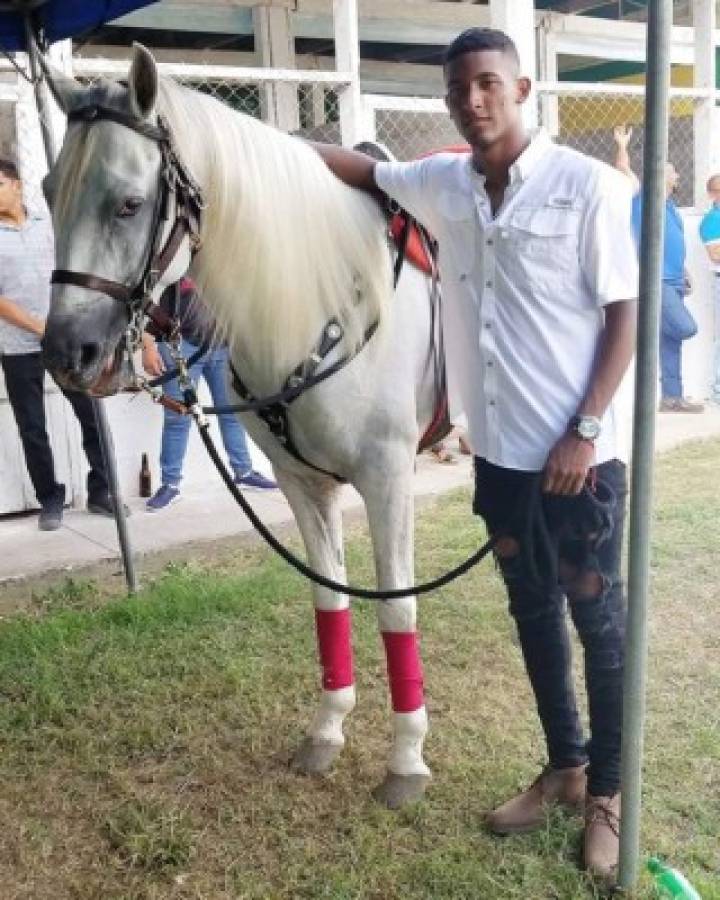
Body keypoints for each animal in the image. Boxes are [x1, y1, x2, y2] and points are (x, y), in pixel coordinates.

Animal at [41, 45, 445, 808]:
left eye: (129, 203)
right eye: (48, 192)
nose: (67, 354)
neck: (323, 297)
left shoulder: (388, 479)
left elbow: (397, 612)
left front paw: (406, 758)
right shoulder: (302, 484)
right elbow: (328, 597)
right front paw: (328, 729)